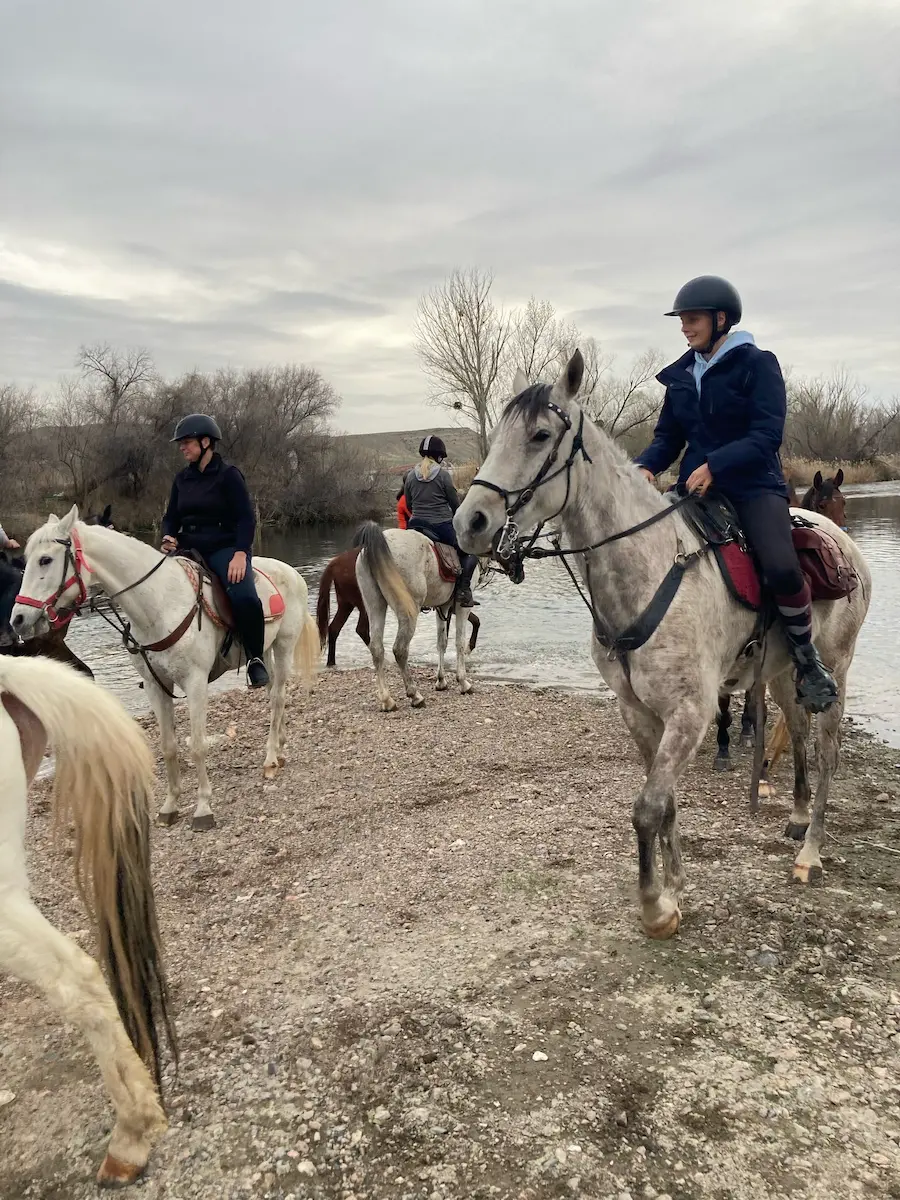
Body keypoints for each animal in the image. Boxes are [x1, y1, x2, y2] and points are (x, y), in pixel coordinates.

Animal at [10, 507, 320, 831]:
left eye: (45, 559)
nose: (18, 619)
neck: (159, 604)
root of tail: (290, 572)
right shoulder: (155, 686)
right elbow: (168, 746)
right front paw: (170, 806)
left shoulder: (196, 684)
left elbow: (197, 746)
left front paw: (203, 808)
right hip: (266, 651)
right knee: (274, 695)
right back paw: (280, 748)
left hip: (283, 647)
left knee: (278, 699)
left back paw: (271, 757)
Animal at [316, 544, 481, 667]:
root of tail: (335, 562)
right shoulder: (453, 606)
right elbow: (472, 622)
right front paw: (467, 649)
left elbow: (474, 621)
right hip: (364, 605)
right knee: (361, 629)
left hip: (346, 604)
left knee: (334, 628)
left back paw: (331, 663)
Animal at [353, 522, 481, 710]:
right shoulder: (462, 607)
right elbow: (459, 642)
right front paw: (463, 682)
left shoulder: (443, 606)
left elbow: (441, 643)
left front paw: (441, 681)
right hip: (408, 609)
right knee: (400, 650)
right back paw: (415, 695)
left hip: (375, 605)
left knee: (376, 649)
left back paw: (387, 700)